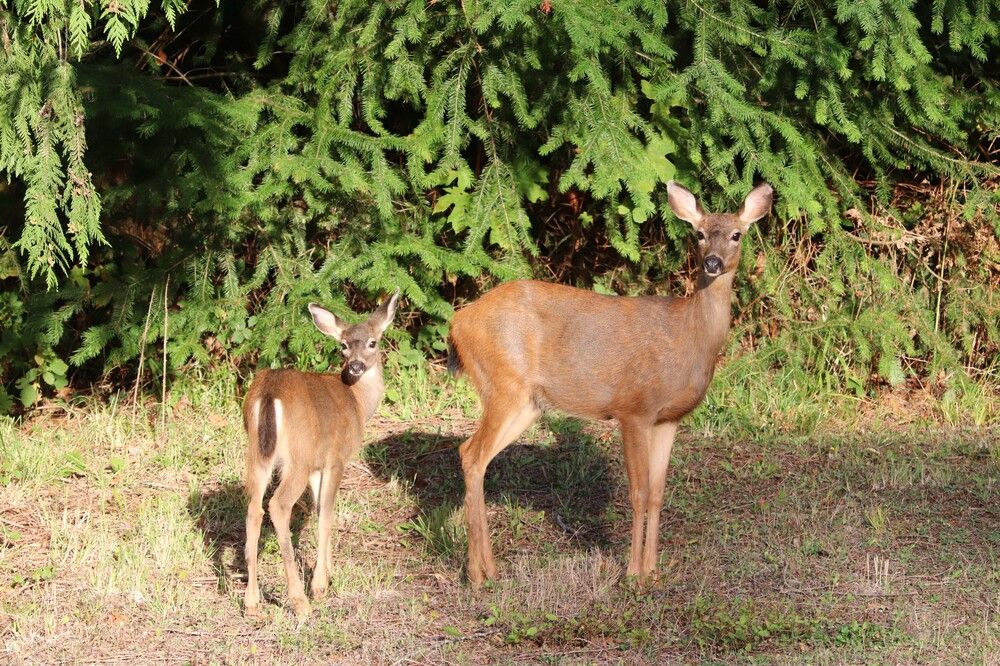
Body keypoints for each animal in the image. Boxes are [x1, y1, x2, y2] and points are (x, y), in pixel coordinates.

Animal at [242, 289, 399, 617]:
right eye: (343, 345)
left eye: (372, 342)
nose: (355, 366)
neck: (357, 402)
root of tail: (269, 393)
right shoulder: (335, 459)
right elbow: (327, 514)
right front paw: (320, 586)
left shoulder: (317, 465)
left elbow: (317, 512)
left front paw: (327, 573)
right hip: (297, 457)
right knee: (277, 505)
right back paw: (299, 600)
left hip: (257, 454)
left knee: (253, 508)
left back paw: (251, 601)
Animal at [447, 181, 773, 587]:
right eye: (698, 234)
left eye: (736, 234)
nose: (713, 262)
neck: (688, 337)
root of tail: (458, 323)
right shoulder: (634, 408)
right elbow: (637, 491)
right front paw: (633, 573)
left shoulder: (668, 418)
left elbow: (657, 492)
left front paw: (652, 569)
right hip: (503, 383)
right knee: (472, 454)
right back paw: (480, 573)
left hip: (527, 402)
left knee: (470, 453)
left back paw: (483, 569)